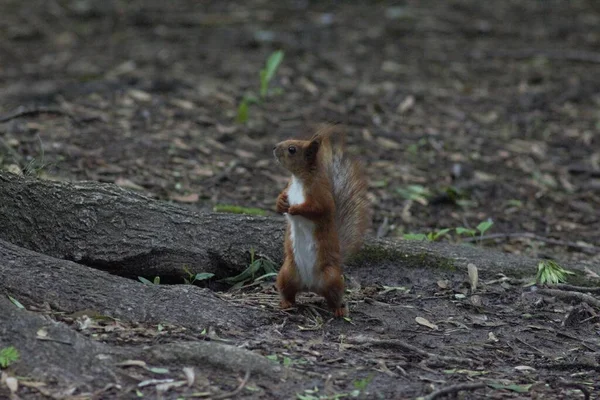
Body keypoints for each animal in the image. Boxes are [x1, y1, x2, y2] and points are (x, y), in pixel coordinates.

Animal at [274, 125, 368, 316]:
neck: (299, 179)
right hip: (286, 273)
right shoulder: (288, 188)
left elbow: (317, 209)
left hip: (331, 277)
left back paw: (338, 310)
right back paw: (286, 303)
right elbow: (281, 201)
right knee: (288, 292)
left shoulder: (320, 195)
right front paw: (281, 203)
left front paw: (295, 209)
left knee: (334, 297)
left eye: (292, 149)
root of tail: (310, 286)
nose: (274, 148)